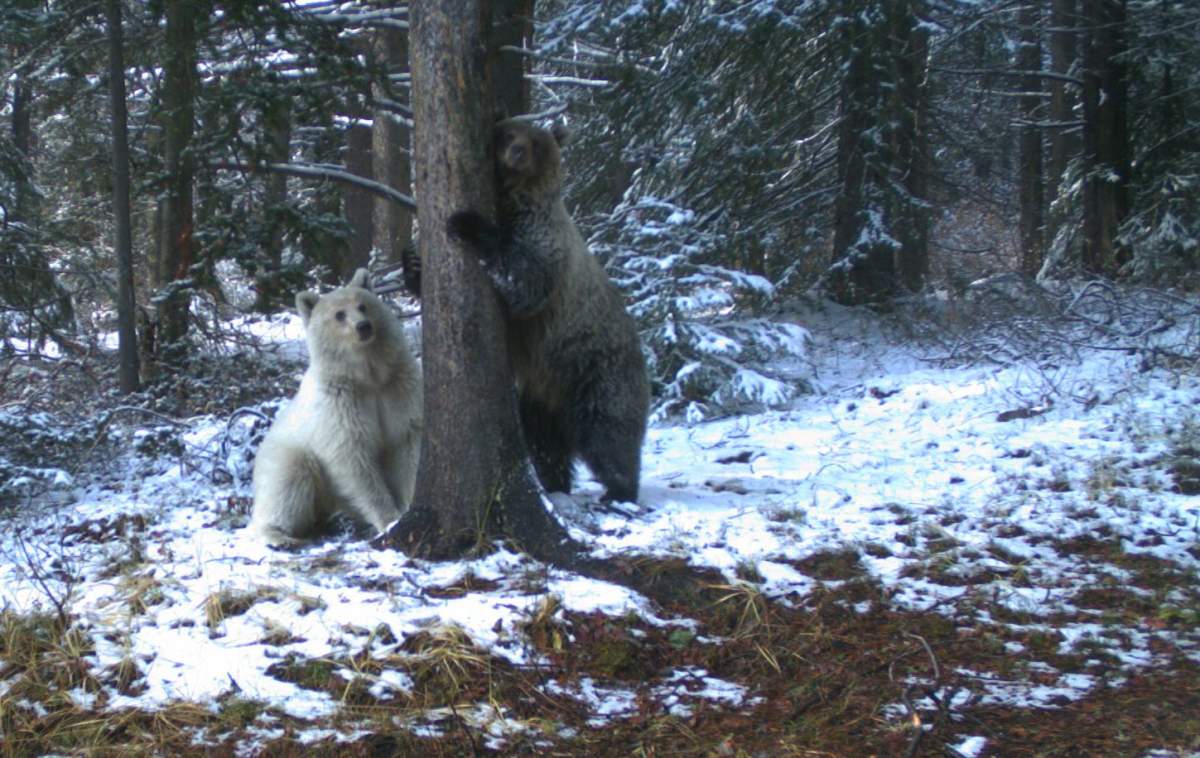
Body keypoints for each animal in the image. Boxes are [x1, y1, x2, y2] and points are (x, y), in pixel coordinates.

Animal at [248, 268, 422, 545]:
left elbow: (407, 444)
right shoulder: (340, 404)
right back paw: (279, 535)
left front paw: (407, 505)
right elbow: (353, 458)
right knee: (287, 482)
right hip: (286, 453)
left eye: (363, 305)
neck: (367, 377)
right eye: (339, 315)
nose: (363, 326)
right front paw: (389, 520)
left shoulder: (399, 389)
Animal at [446, 118, 650, 503]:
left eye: (535, 141)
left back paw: (619, 488)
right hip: (539, 396)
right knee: (545, 445)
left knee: (607, 431)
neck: (514, 201)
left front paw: (468, 223)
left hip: (595, 369)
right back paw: (555, 484)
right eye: (508, 134)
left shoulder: (544, 239)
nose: (517, 152)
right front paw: (412, 263)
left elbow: (526, 282)